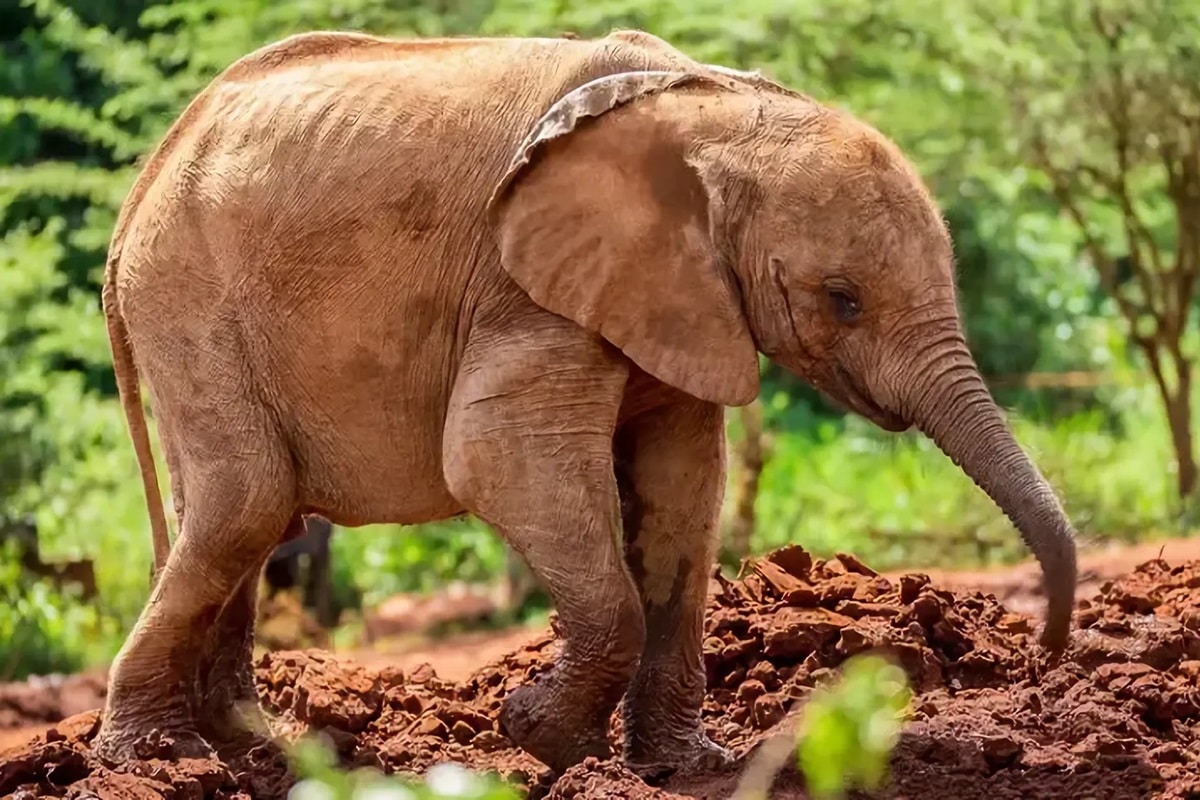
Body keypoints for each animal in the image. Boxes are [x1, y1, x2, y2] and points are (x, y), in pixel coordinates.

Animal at [96, 29, 1080, 777]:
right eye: (843, 299)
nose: (1042, 657)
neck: (717, 109)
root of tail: (146, 177)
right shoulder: (527, 289)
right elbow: (496, 459)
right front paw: (540, 738)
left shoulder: (678, 299)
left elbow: (684, 494)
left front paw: (686, 767)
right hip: (189, 299)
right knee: (247, 504)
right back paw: (157, 758)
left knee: (238, 519)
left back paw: (253, 748)